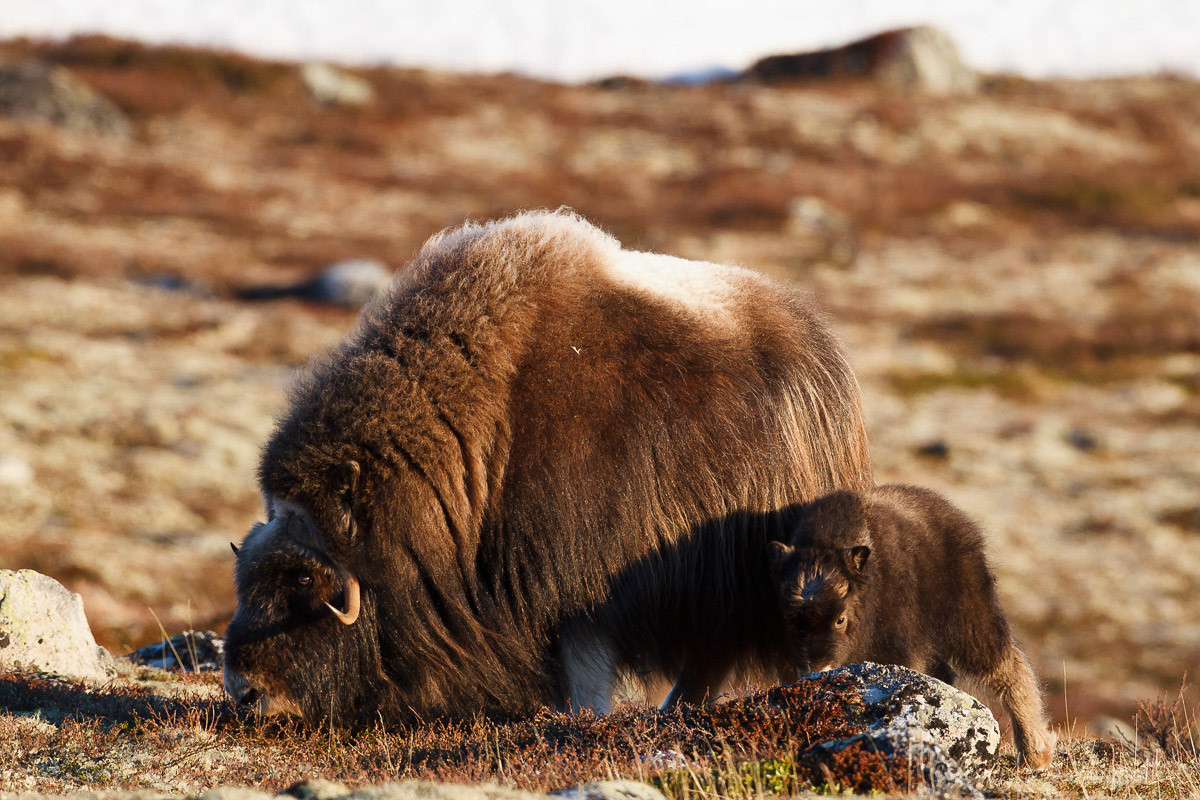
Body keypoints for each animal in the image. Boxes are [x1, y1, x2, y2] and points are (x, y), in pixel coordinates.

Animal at [768, 482, 1060, 767]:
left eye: (840, 619)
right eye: (790, 618)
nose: (815, 672)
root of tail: (957, 517)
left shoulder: (900, 646)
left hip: (972, 618)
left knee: (1007, 666)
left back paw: (1035, 753)